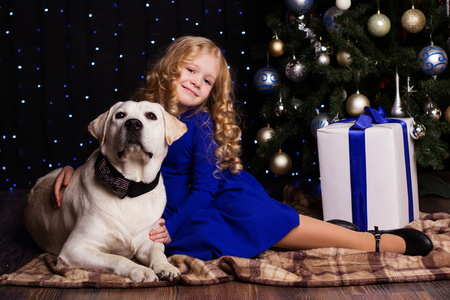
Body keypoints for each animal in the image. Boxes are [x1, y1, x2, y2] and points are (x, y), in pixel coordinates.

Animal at [24, 100, 186, 282]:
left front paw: (166, 266)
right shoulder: (74, 249)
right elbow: (117, 258)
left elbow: (158, 252)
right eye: (120, 115)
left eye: (151, 116)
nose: (133, 123)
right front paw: (140, 270)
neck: (131, 186)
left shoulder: (149, 240)